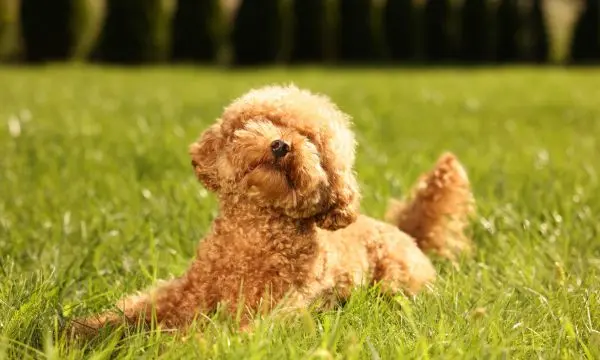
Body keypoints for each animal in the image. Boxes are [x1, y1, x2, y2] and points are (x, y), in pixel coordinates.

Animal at [71, 84, 474, 338]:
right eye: (265, 120)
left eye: (311, 140)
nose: (282, 145)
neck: (255, 233)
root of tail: (407, 232)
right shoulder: (185, 291)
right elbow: (132, 309)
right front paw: (80, 329)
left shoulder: (278, 306)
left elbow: (231, 333)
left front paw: (188, 343)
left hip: (397, 280)